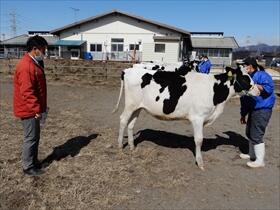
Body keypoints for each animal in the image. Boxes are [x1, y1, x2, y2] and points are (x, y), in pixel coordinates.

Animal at [112, 63, 260, 170]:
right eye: (244, 78)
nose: (259, 91)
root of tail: (128, 70)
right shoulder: (198, 118)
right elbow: (199, 140)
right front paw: (200, 163)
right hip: (130, 105)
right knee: (123, 120)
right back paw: (120, 146)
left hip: (138, 107)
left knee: (131, 124)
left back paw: (132, 147)